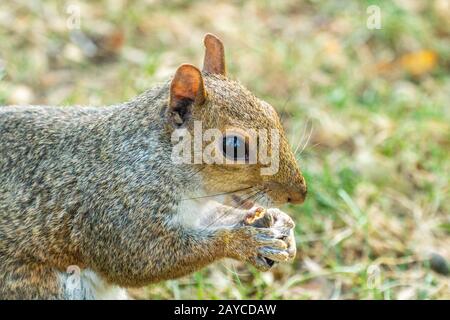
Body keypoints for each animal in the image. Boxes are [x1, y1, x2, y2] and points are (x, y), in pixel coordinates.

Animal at [0, 33, 306, 298]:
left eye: (271, 111)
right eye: (233, 146)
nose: (299, 194)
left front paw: (280, 223)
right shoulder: (120, 212)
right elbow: (141, 260)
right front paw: (244, 242)